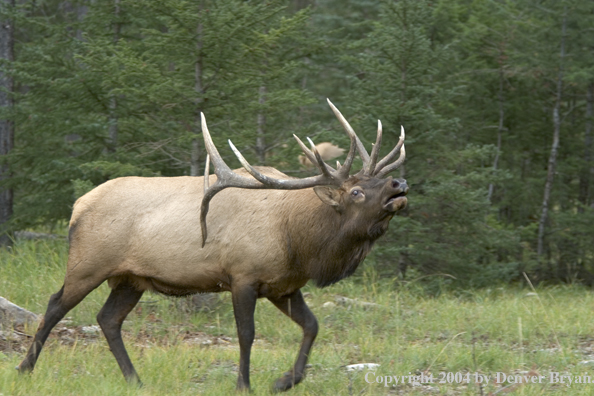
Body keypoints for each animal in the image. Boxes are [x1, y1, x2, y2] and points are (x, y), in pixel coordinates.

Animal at [18, 100, 408, 392]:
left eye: (376, 180)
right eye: (356, 191)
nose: (399, 183)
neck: (299, 241)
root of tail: (76, 208)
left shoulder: (283, 287)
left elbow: (312, 325)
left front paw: (285, 381)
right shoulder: (243, 277)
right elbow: (247, 334)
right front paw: (244, 385)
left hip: (130, 279)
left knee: (108, 318)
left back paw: (135, 380)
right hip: (88, 263)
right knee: (55, 306)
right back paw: (25, 369)